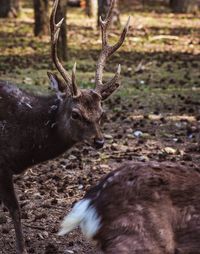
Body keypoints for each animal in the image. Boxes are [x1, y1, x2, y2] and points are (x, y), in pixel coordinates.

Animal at [0, 0, 130, 253]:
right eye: (75, 113)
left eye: (101, 113)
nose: (99, 141)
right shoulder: (1, 164)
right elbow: (15, 209)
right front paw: (22, 248)